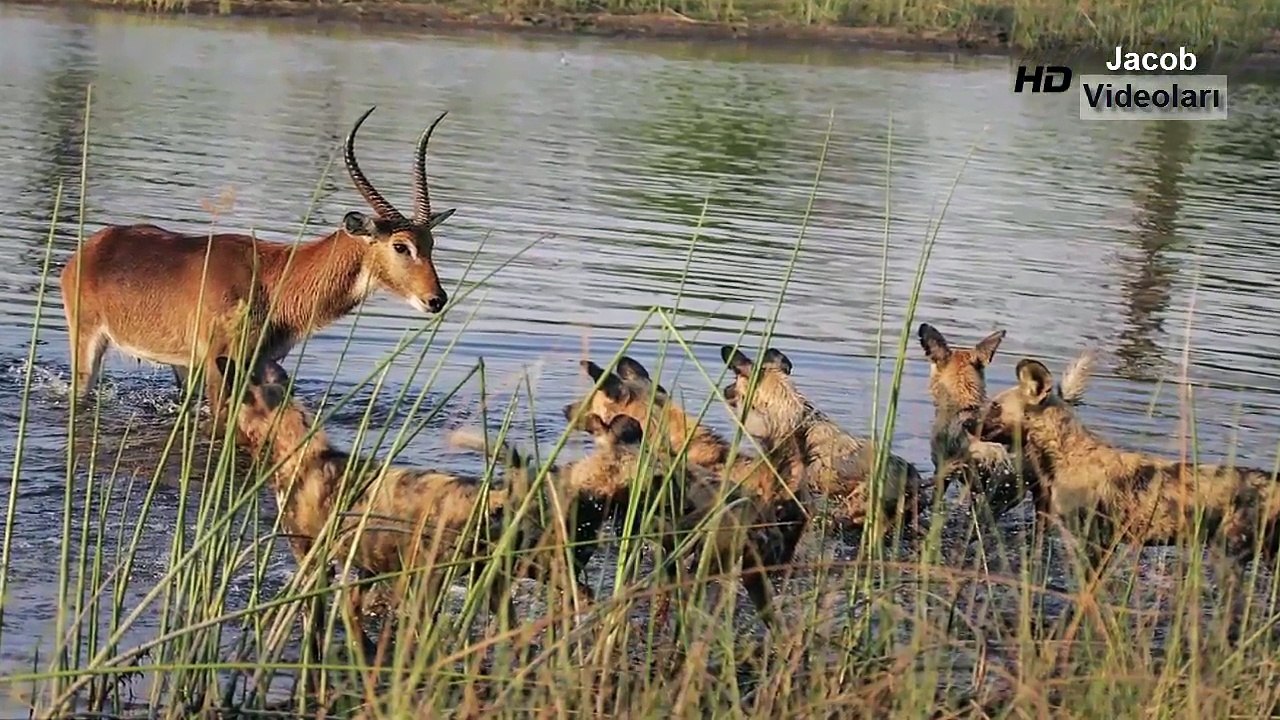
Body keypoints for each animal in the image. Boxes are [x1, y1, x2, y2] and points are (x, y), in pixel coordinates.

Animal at [59, 106, 457, 432]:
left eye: (430, 244)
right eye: (401, 245)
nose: (436, 299)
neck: (274, 277)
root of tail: (91, 248)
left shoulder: (258, 365)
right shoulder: (220, 365)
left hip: (181, 364)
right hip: (88, 342)